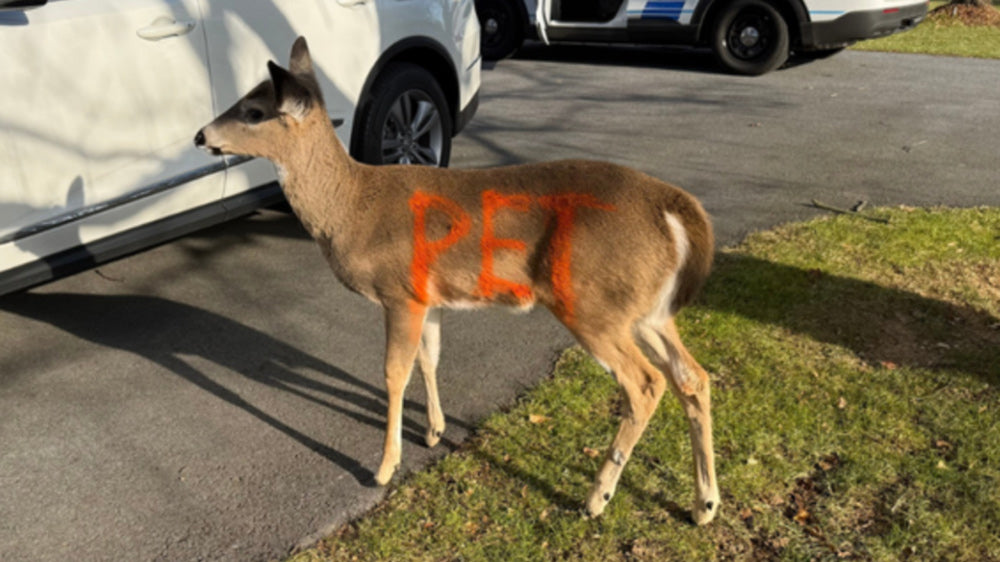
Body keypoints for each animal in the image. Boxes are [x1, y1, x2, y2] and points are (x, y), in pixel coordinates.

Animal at [194, 37, 719, 524]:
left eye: (254, 110)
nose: (200, 135)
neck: (352, 208)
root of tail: (674, 208)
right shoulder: (429, 297)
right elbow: (430, 358)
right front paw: (433, 431)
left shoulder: (400, 292)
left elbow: (394, 373)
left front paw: (384, 467)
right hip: (649, 310)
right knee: (693, 376)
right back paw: (705, 505)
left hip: (592, 301)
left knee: (646, 383)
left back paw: (597, 498)